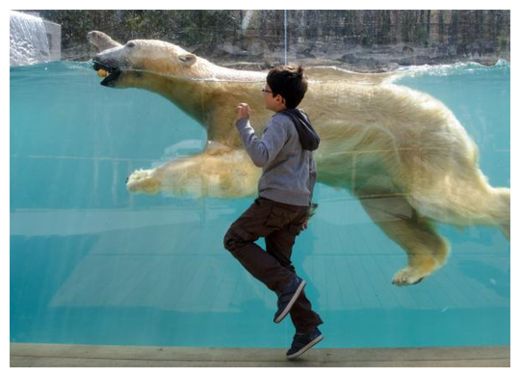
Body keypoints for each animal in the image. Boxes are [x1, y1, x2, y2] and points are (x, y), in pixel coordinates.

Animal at [88, 30, 508, 284]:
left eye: (129, 44)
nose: (97, 56)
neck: (215, 84)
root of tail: (452, 120)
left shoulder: (244, 112)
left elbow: (236, 170)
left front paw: (140, 177)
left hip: (421, 145)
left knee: (446, 199)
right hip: (379, 169)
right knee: (392, 211)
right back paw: (412, 270)